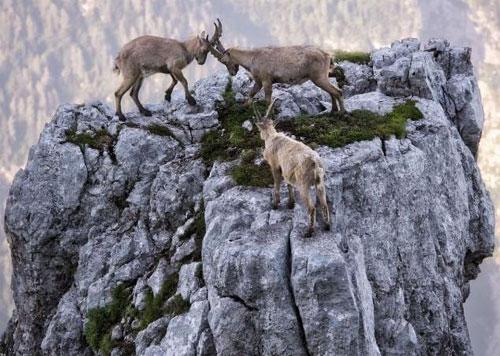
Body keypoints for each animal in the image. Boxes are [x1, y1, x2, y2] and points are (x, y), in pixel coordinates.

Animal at [209, 19, 346, 114]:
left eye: (224, 61)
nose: (232, 73)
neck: (253, 58)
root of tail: (326, 54)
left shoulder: (266, 80)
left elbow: (268, 100)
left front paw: (269, 115)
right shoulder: (258, 81)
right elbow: (251, 94)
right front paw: (242, 108)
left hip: (318, 77)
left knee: (337, 91)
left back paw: (343, 112)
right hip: (323, 75)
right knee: (332, 89)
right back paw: (334, 109)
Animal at [254, 99, 332, 236]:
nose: (260, 136)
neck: (272, 137)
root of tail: (315, 163)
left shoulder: (275, 165)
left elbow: (277, 184)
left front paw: (275, 204)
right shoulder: (286, 170)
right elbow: (288, 184)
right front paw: (290, 203)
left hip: (303, 184)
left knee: (311, 207)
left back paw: (309, 232)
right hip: (320, 182)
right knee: (324, 204)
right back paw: (327, 226)